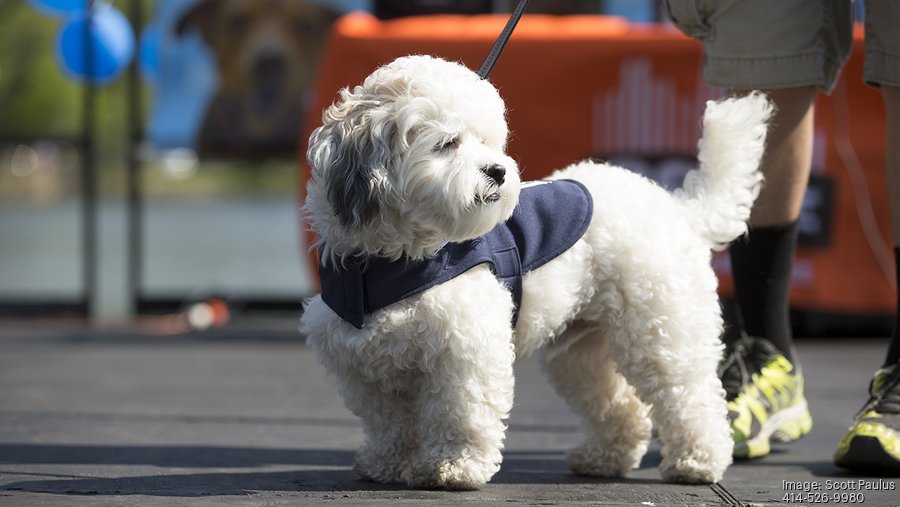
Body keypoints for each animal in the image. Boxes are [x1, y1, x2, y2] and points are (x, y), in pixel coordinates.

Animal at [298, 55, 768, 492]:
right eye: (448, 143)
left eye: (487, 141)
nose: (498, 171)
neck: (394, 260)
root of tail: (678, 207)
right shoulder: (365, 365)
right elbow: (387, 422)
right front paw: (386, 464)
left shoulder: (465, 352)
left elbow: (462, 415)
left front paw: (455, 467)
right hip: (580, 349)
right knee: (621, 406)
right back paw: (604, 458)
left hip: (663, 332)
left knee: (690, 396)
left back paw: (698, 461)